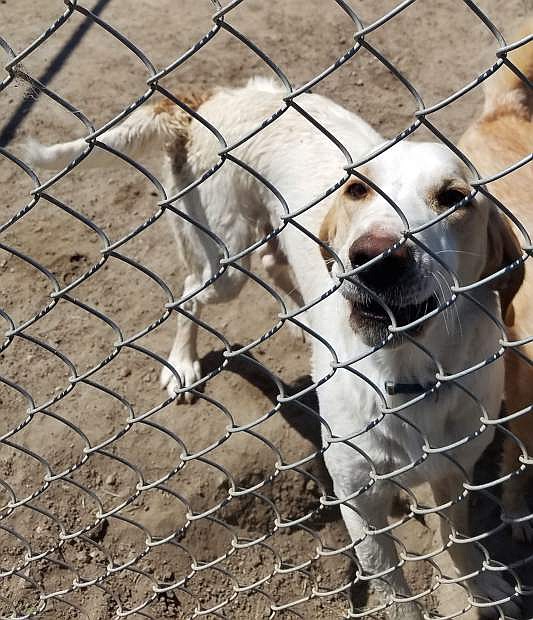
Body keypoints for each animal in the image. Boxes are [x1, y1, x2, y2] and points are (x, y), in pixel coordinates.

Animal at [29, 78, 524, 620]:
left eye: (455, 198)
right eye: (357, 188)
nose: (374, 257)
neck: (410, 375)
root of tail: (216, 98)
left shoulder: (456, 473)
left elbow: (460, 541)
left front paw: (484, 585)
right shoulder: (359, 502)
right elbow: (396, 594)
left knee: (271, 263)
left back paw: (298, 319)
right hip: (222, 262)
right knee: (188, 293)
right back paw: (182, 364)